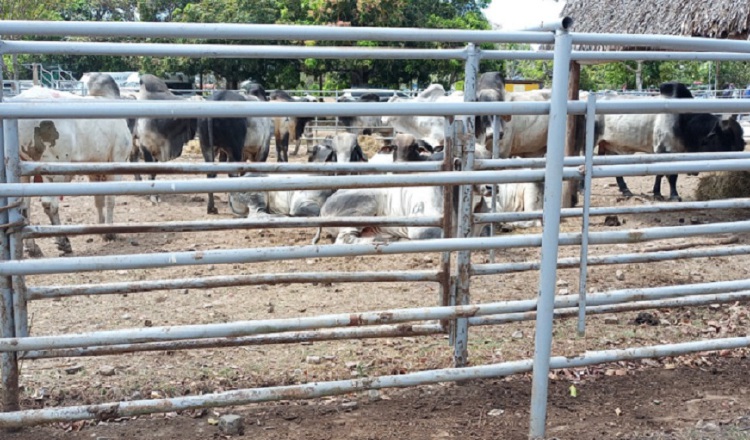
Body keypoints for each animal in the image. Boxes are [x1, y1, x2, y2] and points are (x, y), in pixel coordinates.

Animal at [9, 84, 132, 256]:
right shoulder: (117, 160)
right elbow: (110, 199)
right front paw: (110, 233)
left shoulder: (95, 169)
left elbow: (99, 200)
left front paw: (102, 229)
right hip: (53, 166)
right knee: (49, 204)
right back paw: (63, 241)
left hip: (24, 170)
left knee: (24, 207)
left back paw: (32, 247)